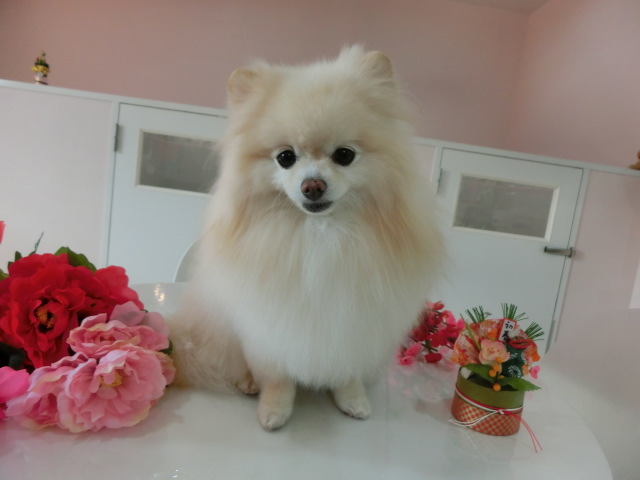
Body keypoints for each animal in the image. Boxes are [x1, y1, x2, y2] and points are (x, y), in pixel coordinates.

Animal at [170, 46, 443, 431]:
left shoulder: (358, 321)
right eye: (286, 157)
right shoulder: (271, 324)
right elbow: (278, 377)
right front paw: (274, 410)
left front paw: (352, 400)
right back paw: (248, 382)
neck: (320, 234)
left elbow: (348, 372)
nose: (312, 185)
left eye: (344, 155)